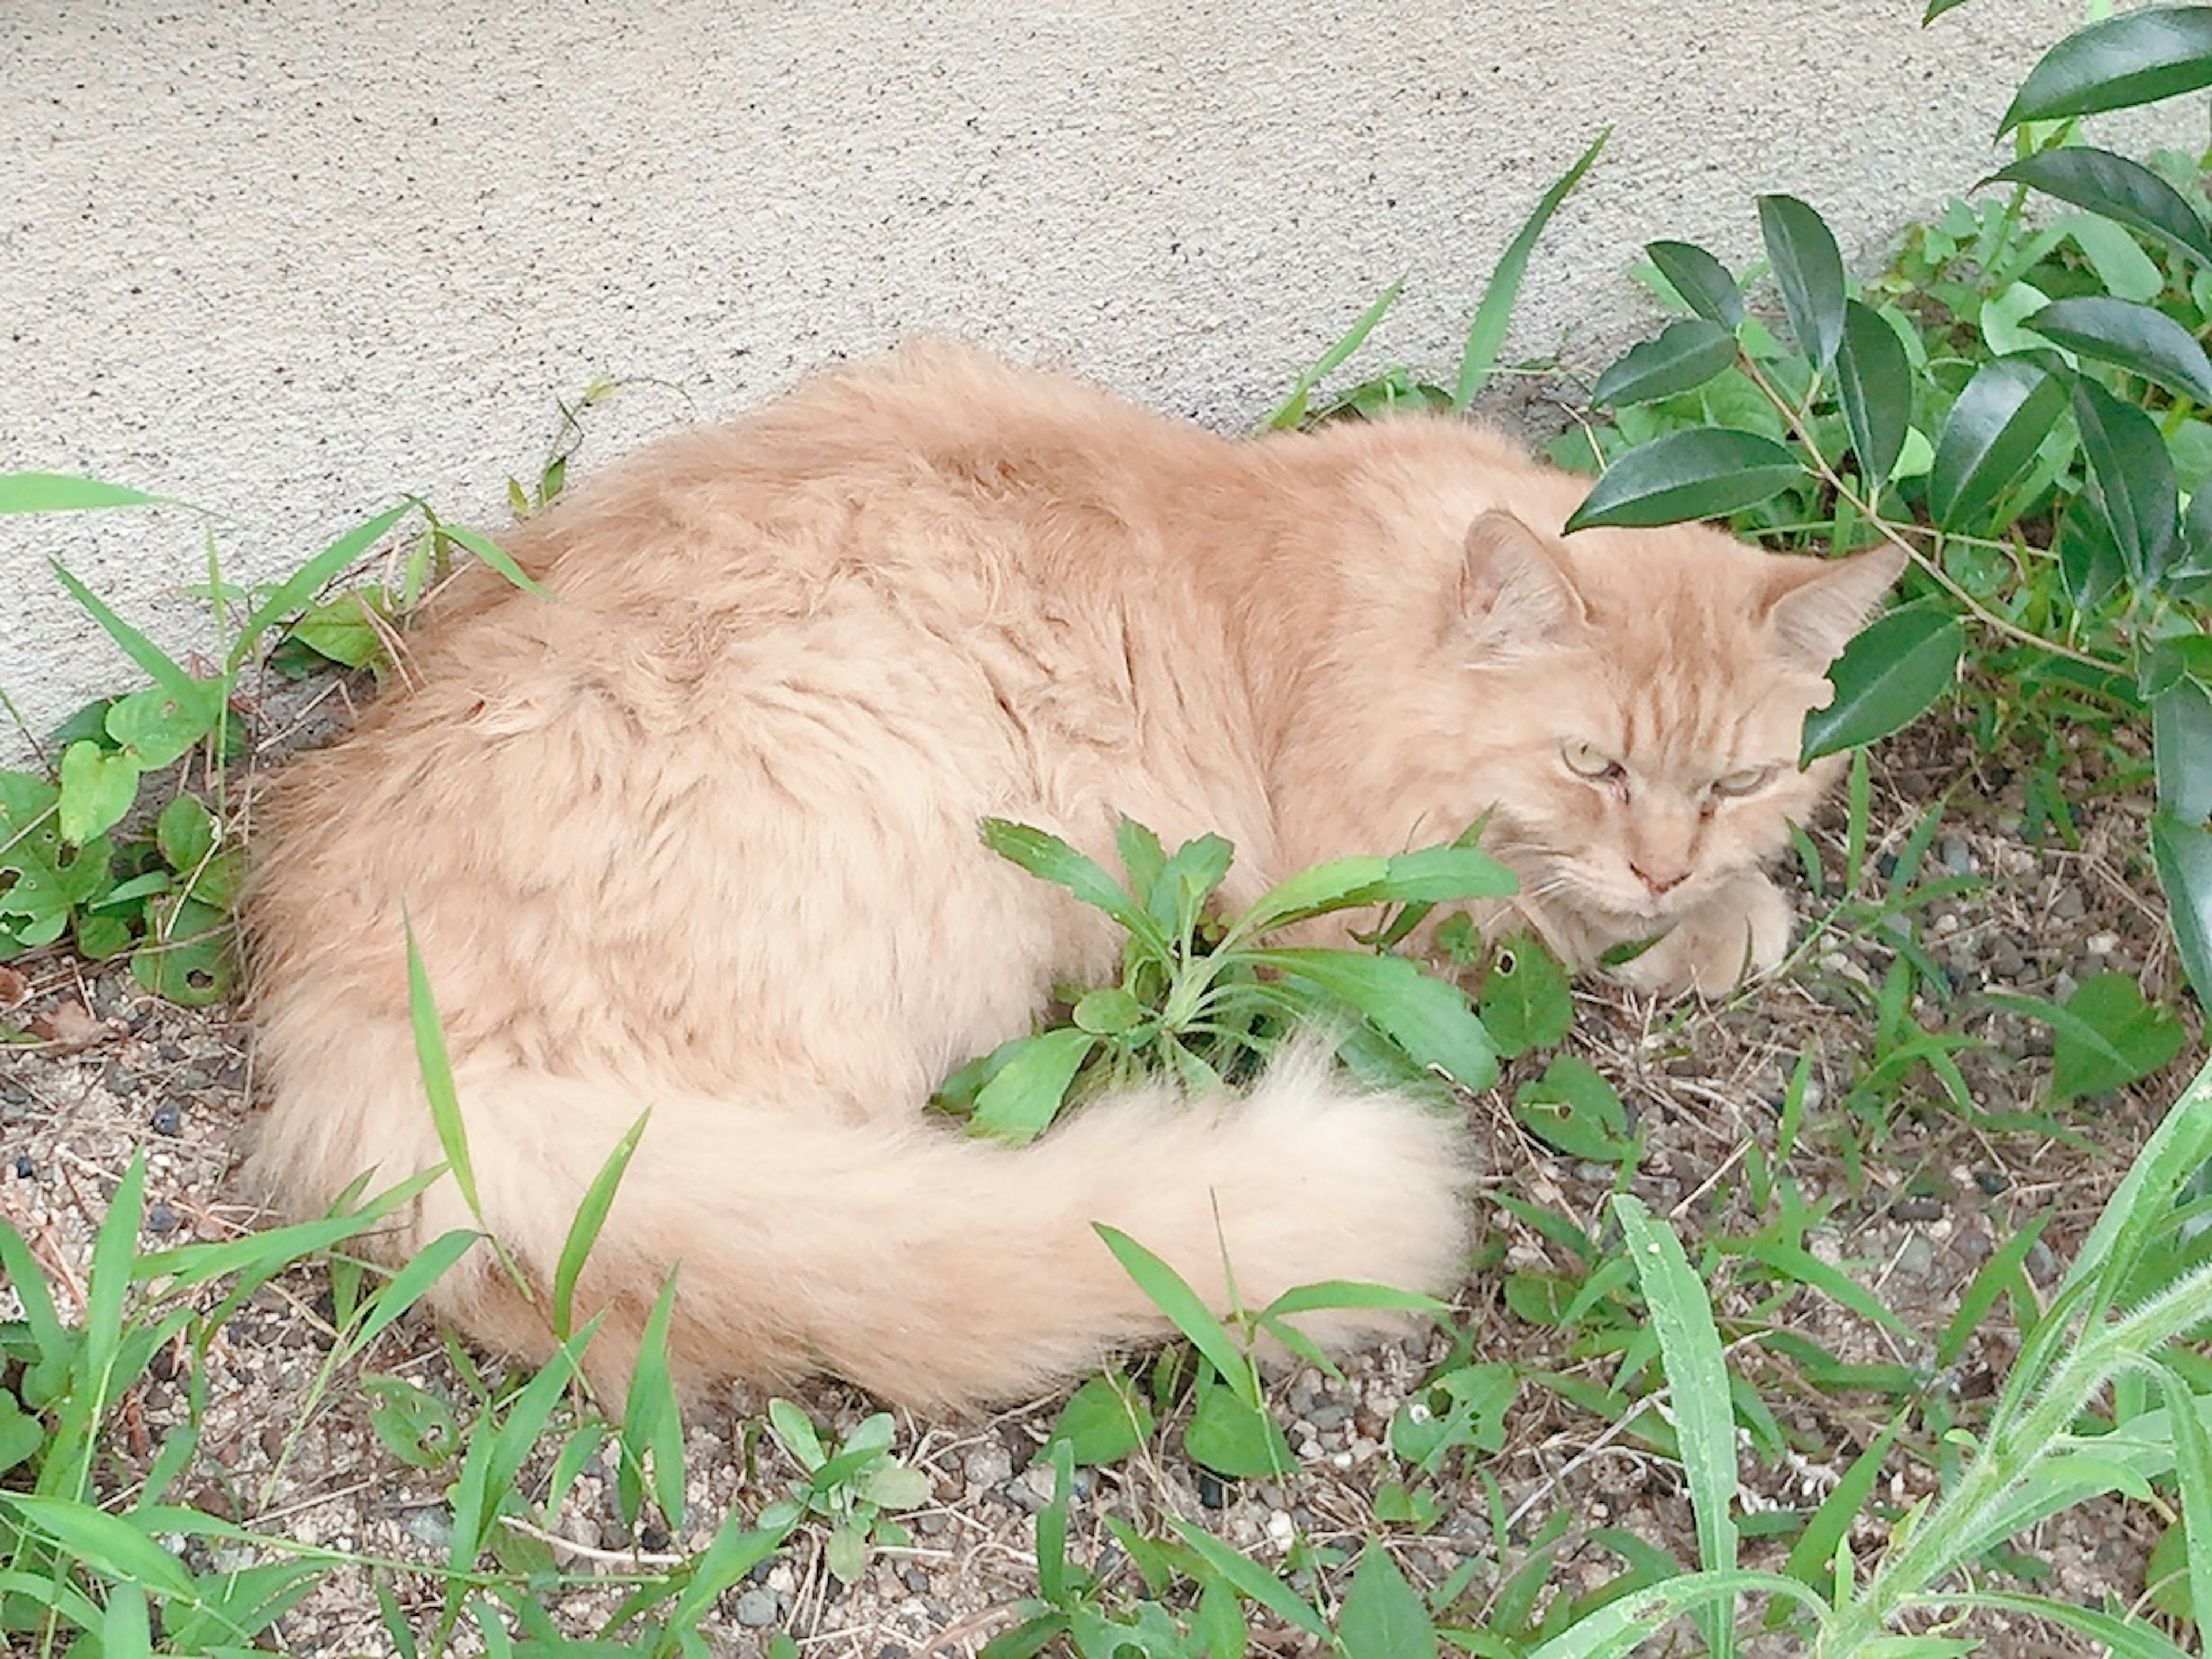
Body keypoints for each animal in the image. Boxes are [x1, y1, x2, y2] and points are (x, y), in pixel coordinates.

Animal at [247, 345, 1902, 1407]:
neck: (1369, 597)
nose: (1668, 865)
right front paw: (1714, 927)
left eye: (1741, 782)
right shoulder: (1367, 890)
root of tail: (354, 1014)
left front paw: (1719, 903)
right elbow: (1546, 915)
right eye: (1593, 766)